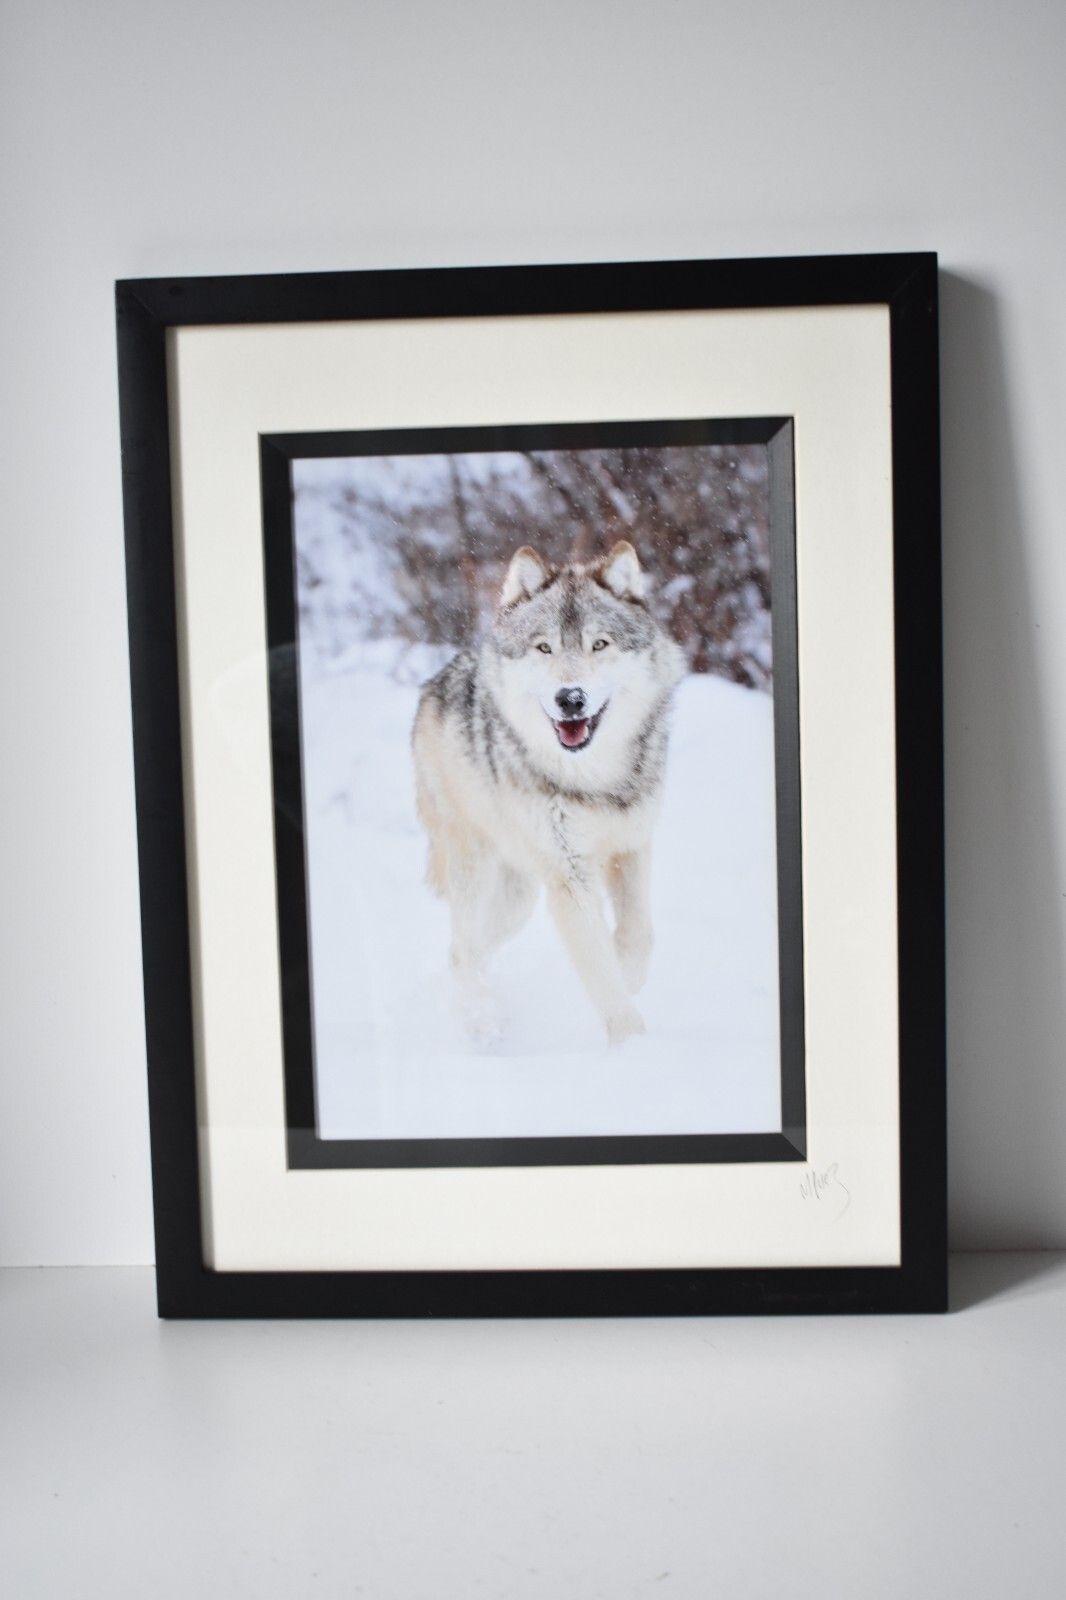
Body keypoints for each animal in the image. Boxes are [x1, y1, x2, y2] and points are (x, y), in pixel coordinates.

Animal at [412, 540, 685, 1045]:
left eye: (600, 643)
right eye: (544, 646)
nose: (570, 698)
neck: (593, 781)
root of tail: (436, 681)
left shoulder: (632, 844)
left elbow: (637, 933)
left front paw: (630, 975)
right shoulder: (570, 876)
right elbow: (599, 967)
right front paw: (633, 1044)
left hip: (517, 898)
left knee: (470, 949)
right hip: (475, 867)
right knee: (464, 948)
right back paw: (480, 1023)